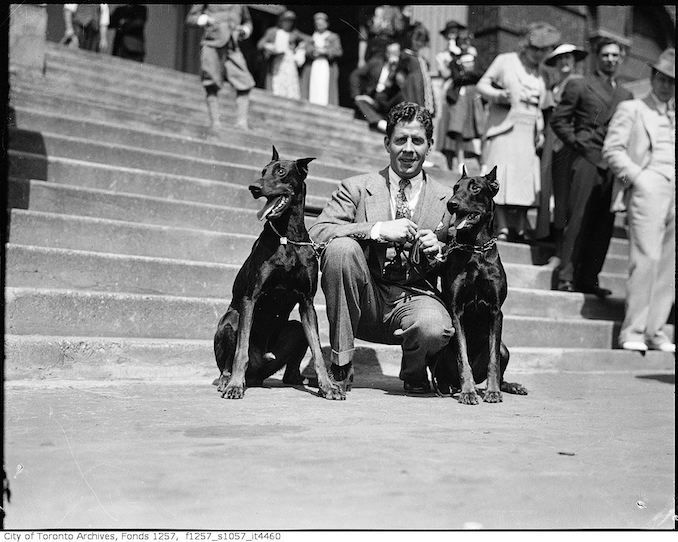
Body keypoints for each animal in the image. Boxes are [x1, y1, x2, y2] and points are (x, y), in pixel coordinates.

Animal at [216, 147, 346, 402]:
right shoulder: (250, 297)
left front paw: (328, 386)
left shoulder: (307, 302)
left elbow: (317, 351)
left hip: (295, 329)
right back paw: (228, 379)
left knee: (290, 367)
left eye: (281, 171)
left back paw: (300, 379)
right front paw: (235, 385)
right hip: (231, 319)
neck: (287, 236)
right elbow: (241, 351)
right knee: (228, 359)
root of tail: (259, 373)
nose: (254, 187)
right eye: (262, 171)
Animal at [432, 168, 528, 406]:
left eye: (475, 188)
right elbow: (462, 357)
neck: (475, 248)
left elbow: (493, 361)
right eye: (455, 187)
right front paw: (468, 393)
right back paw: (460, 388)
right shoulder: (456, 311)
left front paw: (493, 392)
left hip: (505, 349)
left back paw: (509, 386)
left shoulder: (495, 311)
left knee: (499, 366)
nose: (452, 204)